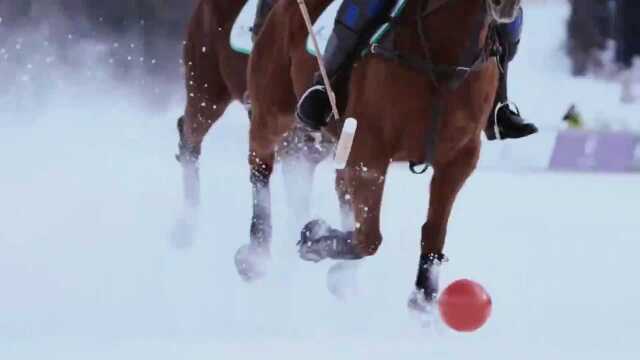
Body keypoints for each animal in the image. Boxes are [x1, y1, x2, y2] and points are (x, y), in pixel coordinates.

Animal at [242, 0, 524, 310]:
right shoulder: (369, 149)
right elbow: (369, 238)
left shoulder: (459, 158)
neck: (445, 53)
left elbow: (434, 229)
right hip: (272, 109)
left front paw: (423, 296)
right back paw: (255, 256)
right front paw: (314, 238)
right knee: (260, 167)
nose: (505, 5)